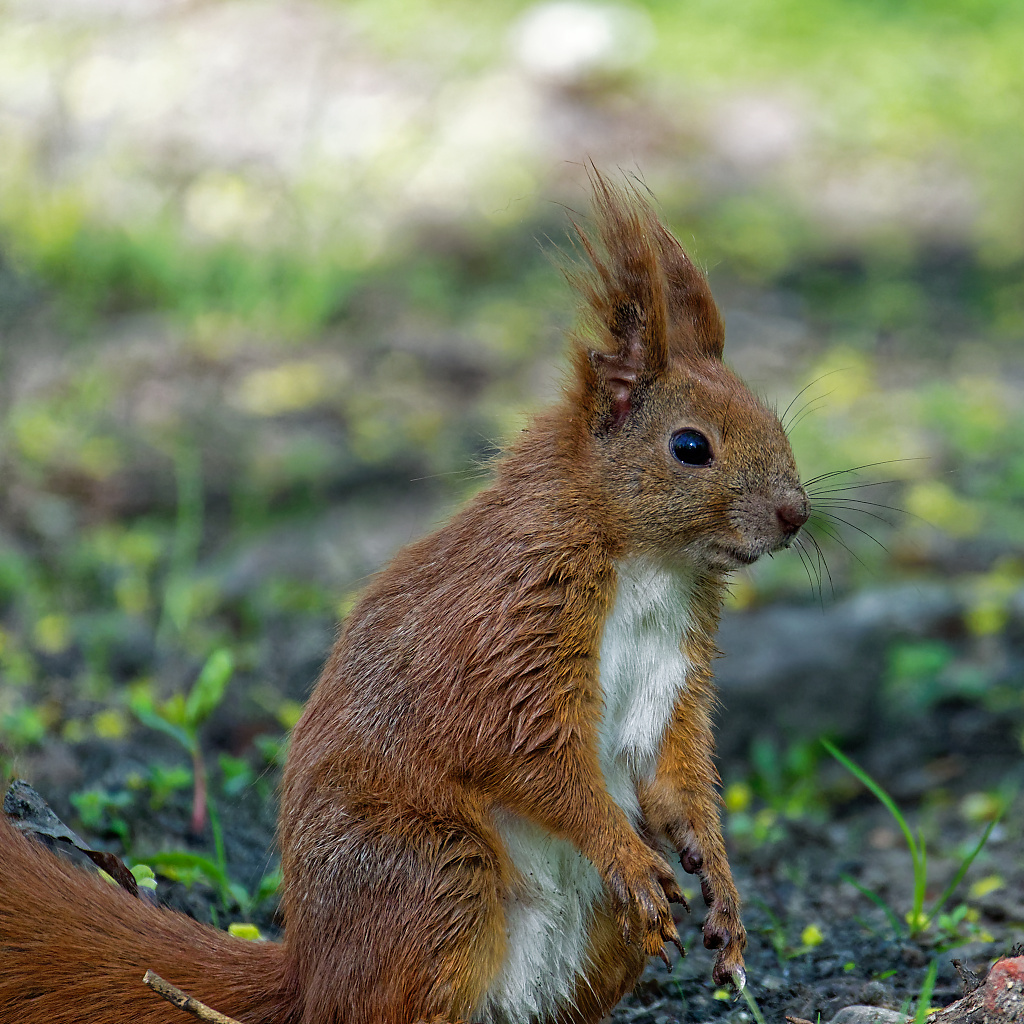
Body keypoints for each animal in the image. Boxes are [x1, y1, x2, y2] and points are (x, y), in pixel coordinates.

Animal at [0, 176, 806, 1024]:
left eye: (772, 419)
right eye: (690, 447)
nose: (796, 513)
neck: (652, 566)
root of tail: (309, 973)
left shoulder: (673, 669)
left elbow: (674, 773)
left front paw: (721, 887)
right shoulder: (510, 628)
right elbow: (536, 757)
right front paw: (632, 852)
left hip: (580, 936)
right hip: (431, 873)